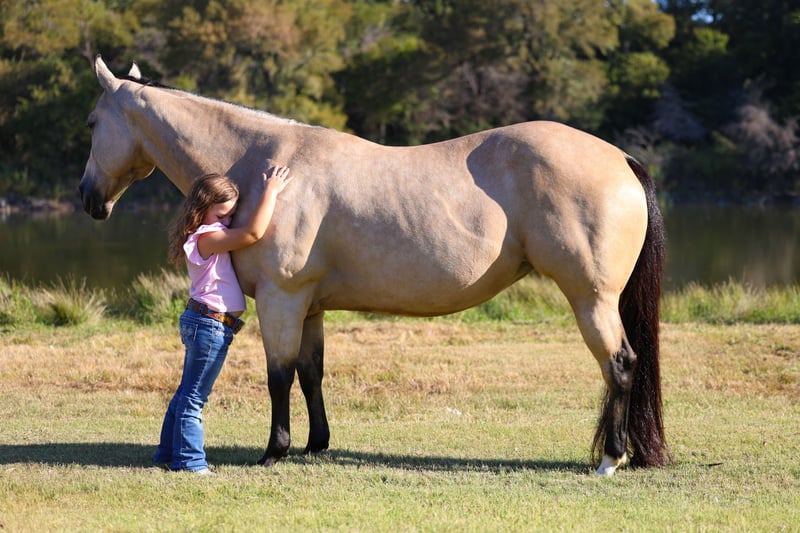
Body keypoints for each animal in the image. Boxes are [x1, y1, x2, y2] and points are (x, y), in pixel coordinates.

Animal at [79, 56, 669, 476]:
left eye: (91, 122)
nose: (88, 198)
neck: (265, 164)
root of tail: (621, 159)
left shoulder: (280, 298)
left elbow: (277, 376)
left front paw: (275, 451)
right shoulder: (309, 306)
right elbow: (310, 374)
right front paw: (316, 445)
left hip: (591, 298)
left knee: (620, 364)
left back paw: (610, 460)